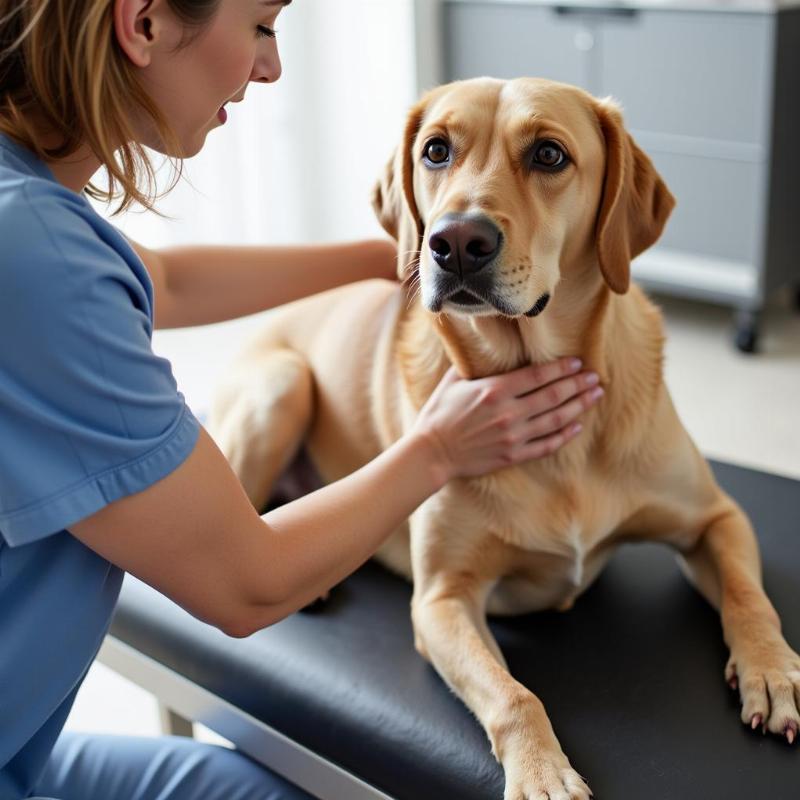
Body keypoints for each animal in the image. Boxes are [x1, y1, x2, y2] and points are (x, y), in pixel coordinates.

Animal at [208, 79, 800, 800]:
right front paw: (543, 772)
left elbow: (749, 595)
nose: (456, 241)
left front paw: (770, 669)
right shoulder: (442, 600)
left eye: (549, 154)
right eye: (436, 151)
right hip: (281, 384)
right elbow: (514, 695)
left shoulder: (716, 517)